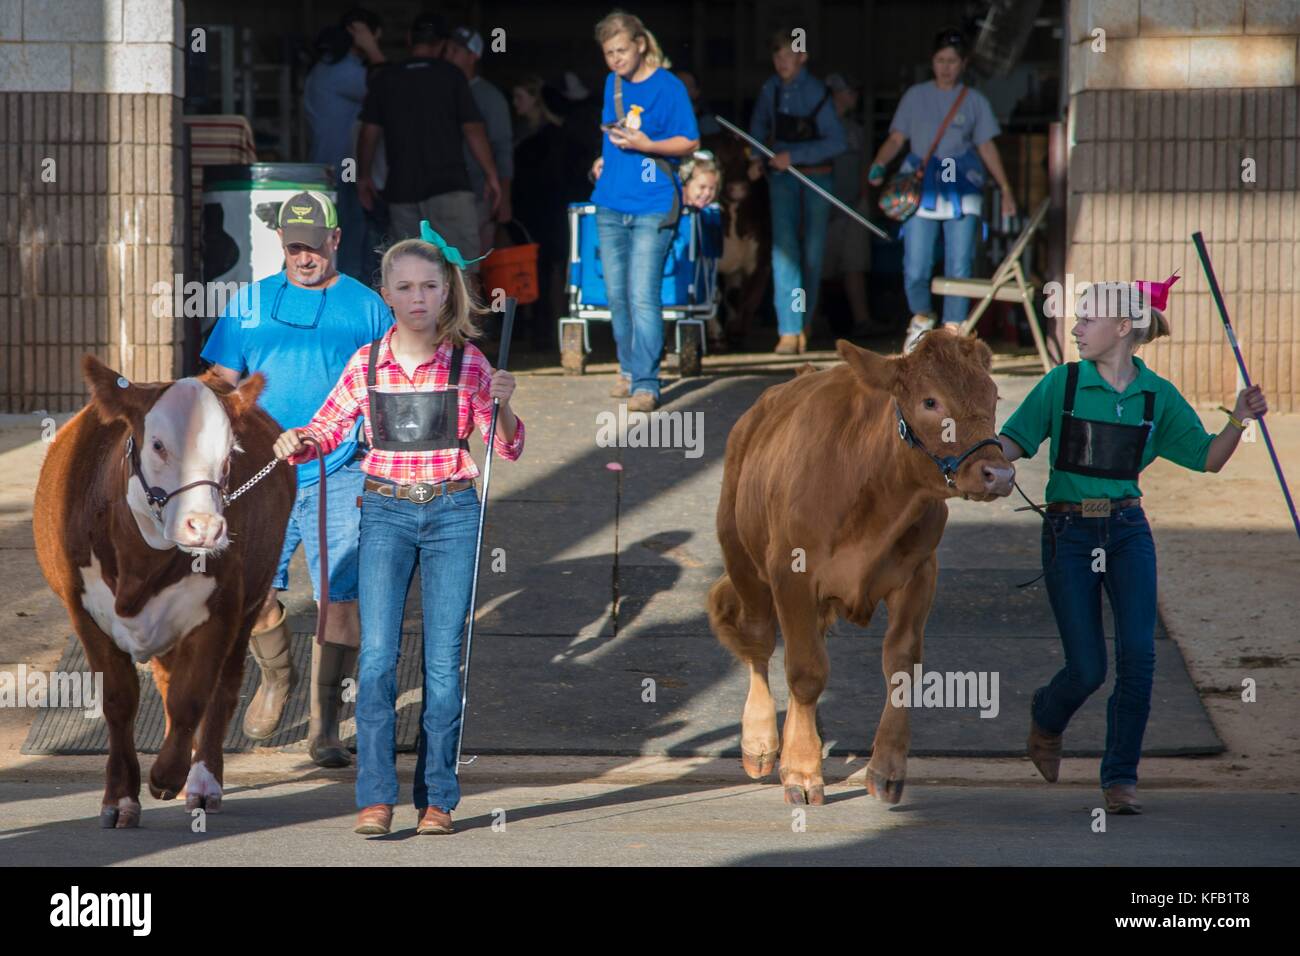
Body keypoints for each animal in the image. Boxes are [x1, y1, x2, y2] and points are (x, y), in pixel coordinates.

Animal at [30, 356, 295, 827]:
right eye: (157, 445)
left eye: (230, 453)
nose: (205, 527)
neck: (140, 567)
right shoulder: (84, 614)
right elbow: (119, 700)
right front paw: (120, 797)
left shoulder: (222, 608)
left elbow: (193, 697)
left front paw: (168, 775)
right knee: (168, 681)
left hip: (251, 600)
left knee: (223, 689)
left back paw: (203, 781)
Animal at [712, 332, 1013, 806]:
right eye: (930, 401)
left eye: (993, 395)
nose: (997, 474)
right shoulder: (791, 574)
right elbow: (805, 672)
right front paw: (801, 772)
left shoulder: (920, 573)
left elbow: (901, 666)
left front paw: (886, 768)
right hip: (742, 557)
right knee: (758, 643)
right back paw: (761, 743)